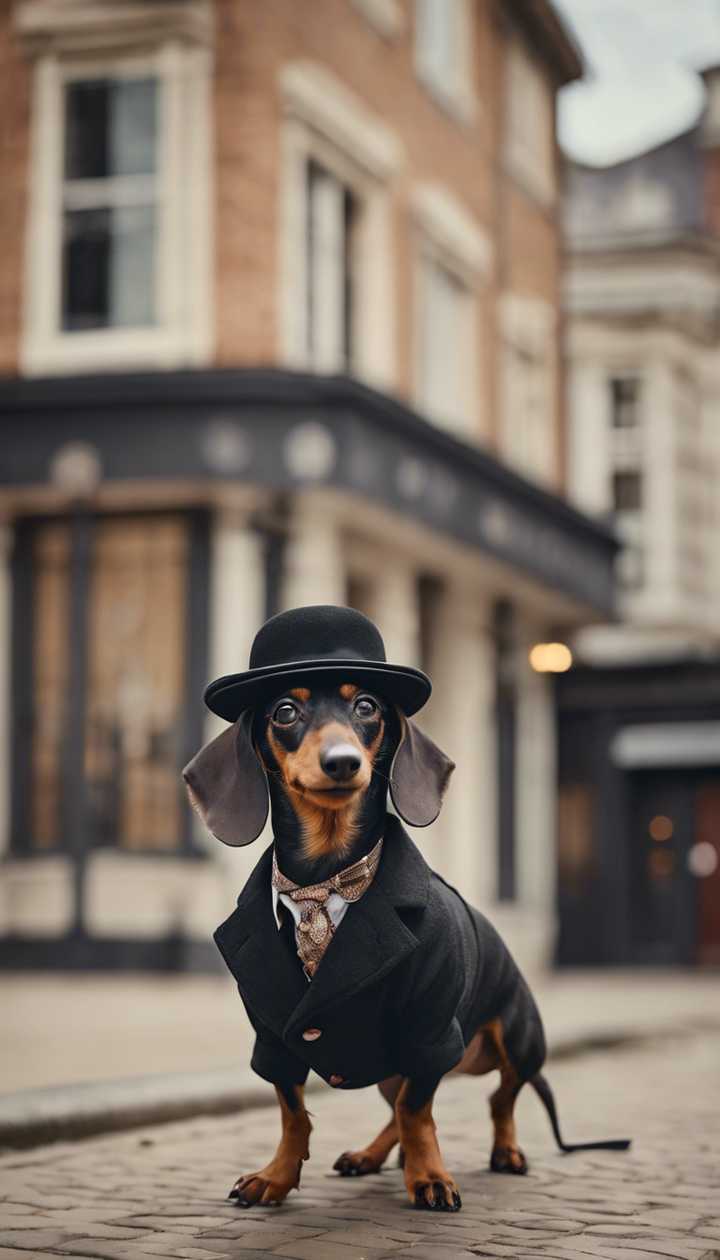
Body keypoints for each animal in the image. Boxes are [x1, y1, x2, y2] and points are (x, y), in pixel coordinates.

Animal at [185, 640, 630, 1209]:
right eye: (285, 711)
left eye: (366, 706)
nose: (343, 762)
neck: (325, 879)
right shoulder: (273, 1035)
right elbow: (293, 1112)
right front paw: (276, 1176)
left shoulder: (430, 1027)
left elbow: (418, 1112)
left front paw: (430, 1177)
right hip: (396, 1068)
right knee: (401, 1108)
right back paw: (370, 1156)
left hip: (520, 1040)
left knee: (498, 1098)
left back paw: (505, 1151)